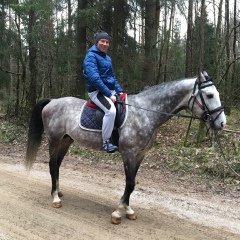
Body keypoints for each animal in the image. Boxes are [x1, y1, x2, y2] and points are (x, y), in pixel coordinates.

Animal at [25, 70, 226, 224]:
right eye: (209, 95)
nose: (222, 123)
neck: (146, 112)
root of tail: (52, 101)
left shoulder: (140, 154)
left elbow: (132, 182)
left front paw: (128, 210)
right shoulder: (129, 153)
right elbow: (130, 183)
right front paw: (118, 212)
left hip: (66, 140)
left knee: (57, 165)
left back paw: (58, 191)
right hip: (54, 139)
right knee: (52, 165)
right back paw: (55, 198)